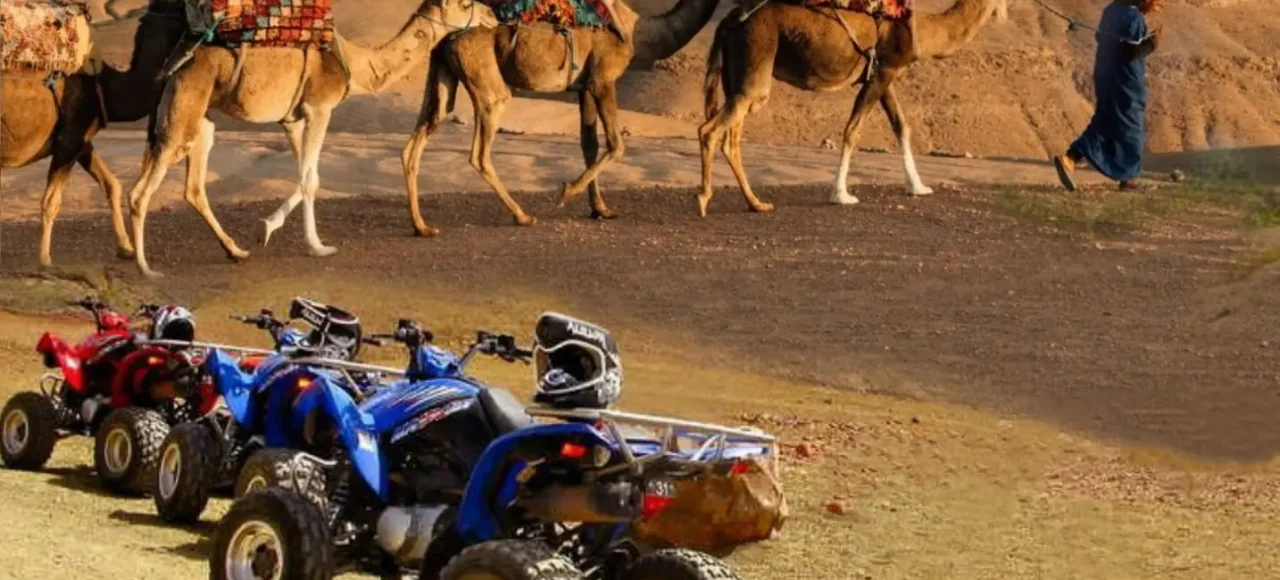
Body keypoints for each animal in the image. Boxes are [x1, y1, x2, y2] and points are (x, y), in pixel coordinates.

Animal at [0, 0, 189, 267]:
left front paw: (126, 248)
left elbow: (112, 184)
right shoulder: (69, 139)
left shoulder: (82, 141)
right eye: (183, 7)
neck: (105, 84)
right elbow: (50, 202)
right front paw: (45, 260)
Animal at [123, 0, 499, 278]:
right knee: (141, 191)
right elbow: (309, 181)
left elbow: (308, 175)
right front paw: (318, 247)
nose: (492, 16)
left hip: (199, 119)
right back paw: (146, 268)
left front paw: (265, 228)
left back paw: (235, 250)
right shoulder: (320, 107)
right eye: (466, 3)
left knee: (192, 187)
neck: (356, 65)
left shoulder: (292, 118)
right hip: (185, 105)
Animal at [394, 0, 721, 235]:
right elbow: (616, 144)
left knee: (424, 130)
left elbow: (589, 144)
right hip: (481, 69)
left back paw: (421, 226)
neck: (639, 32)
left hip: (442, 68)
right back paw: (522, 215)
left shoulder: (584, 86)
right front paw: (567, 191)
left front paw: (600, 209)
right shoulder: (603, 79)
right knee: (482, 144)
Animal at [697, 0, 1008, 215]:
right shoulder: (884, 71)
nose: (1006, 12)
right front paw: (841, 194)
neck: (919, 30)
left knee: (731, 138)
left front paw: (918, 187)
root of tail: (728, 22)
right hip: (756, 59)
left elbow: (901, 126)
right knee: (709, 130)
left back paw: (756, 203)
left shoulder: (881, 74)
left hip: (737, 74)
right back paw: (703, 199)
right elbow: (853, 130)